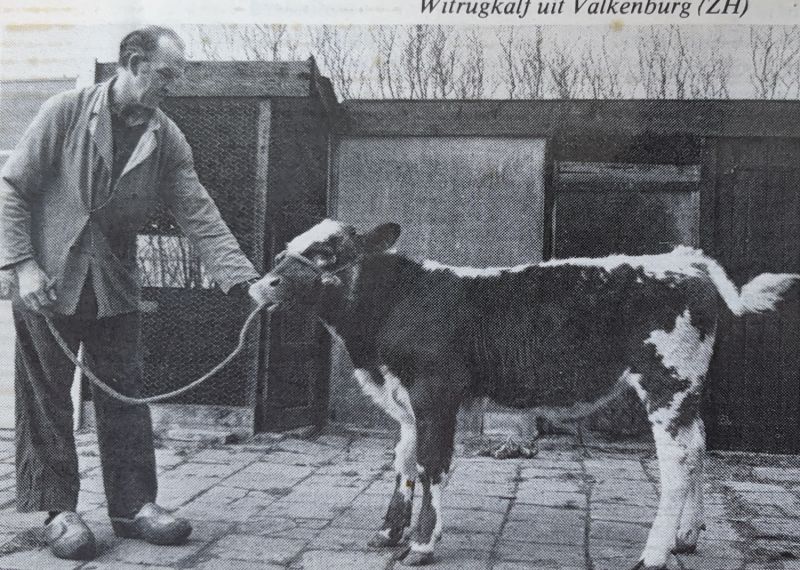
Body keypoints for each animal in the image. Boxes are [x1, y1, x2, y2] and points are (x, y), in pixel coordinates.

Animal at [249, 219, 799, 569]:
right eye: (284, 250)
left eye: (326, 252)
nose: (262, 284)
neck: (393, 308)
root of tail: (680, 258)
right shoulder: (405, 402)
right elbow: (404, 462)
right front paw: (388, 532)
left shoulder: (436, 393)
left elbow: (431, 464)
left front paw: (422, 545)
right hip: (687, 391)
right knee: (700, 446)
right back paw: (686, 538)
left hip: (667, 381)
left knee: (679, 461)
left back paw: (654, 553)